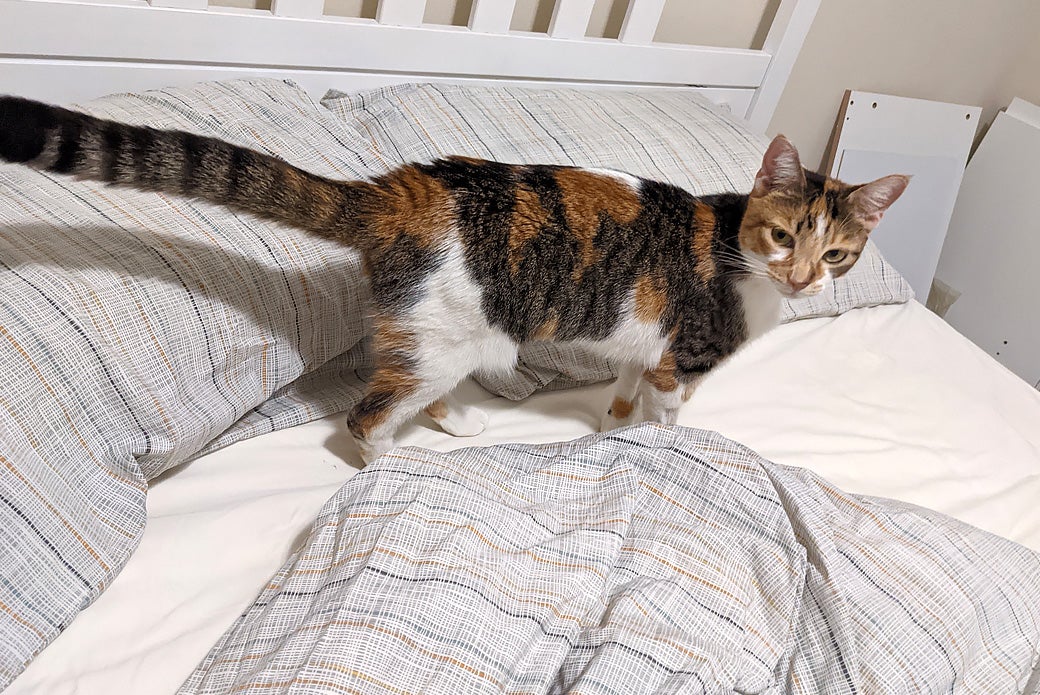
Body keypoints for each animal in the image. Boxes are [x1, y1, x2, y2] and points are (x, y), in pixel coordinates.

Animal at [0, 95, 908, 463]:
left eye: (837, 254)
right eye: (782, 235)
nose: (804, 280)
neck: (735, 249)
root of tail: (403, 188)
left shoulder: (640, 353)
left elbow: (619, 401)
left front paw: (611, 431)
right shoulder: (679, 362)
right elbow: (668, 415)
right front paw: (661, 442)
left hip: (439, 340)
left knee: (407, 387)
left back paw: (454, 424)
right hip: (446, 338)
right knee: (365, 414)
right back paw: (383, 464)